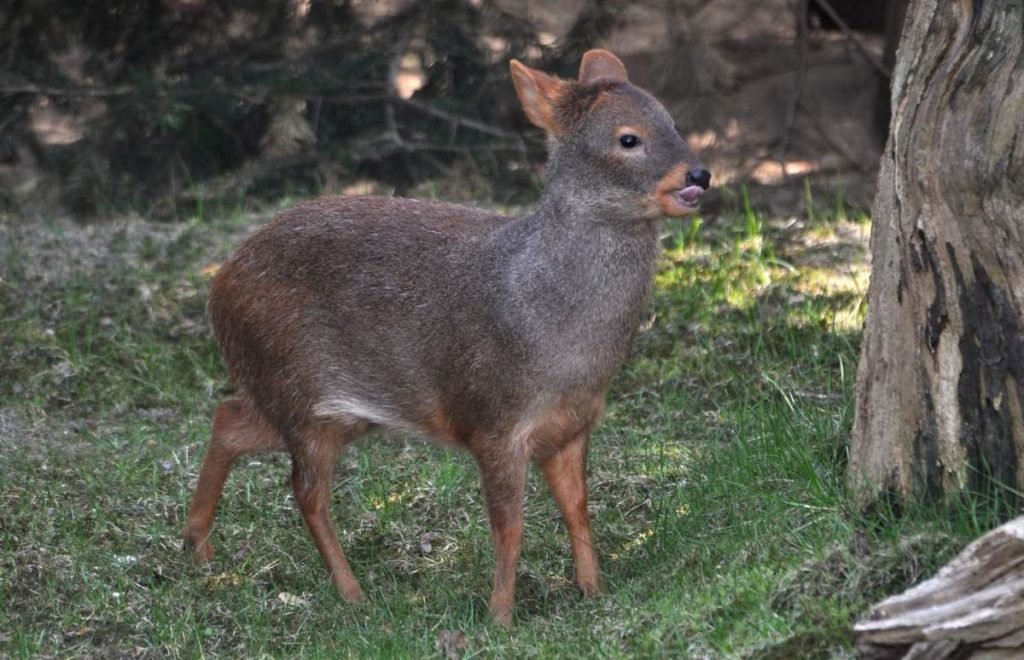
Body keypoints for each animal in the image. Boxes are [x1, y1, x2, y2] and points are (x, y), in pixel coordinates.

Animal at [184, 48, 708, 626]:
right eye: (628, 138)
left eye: (672, 121)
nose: (700, 173)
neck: (560, 340)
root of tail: (218, 288)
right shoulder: (492, 419)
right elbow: (509, 527)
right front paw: (500, 617)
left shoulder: (572, 424)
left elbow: (577, 509)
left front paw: (594, 591)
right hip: (298, 390)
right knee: (305, 491)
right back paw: (352, 593)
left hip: (316, 404)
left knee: (228, 418)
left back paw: (198, 546)